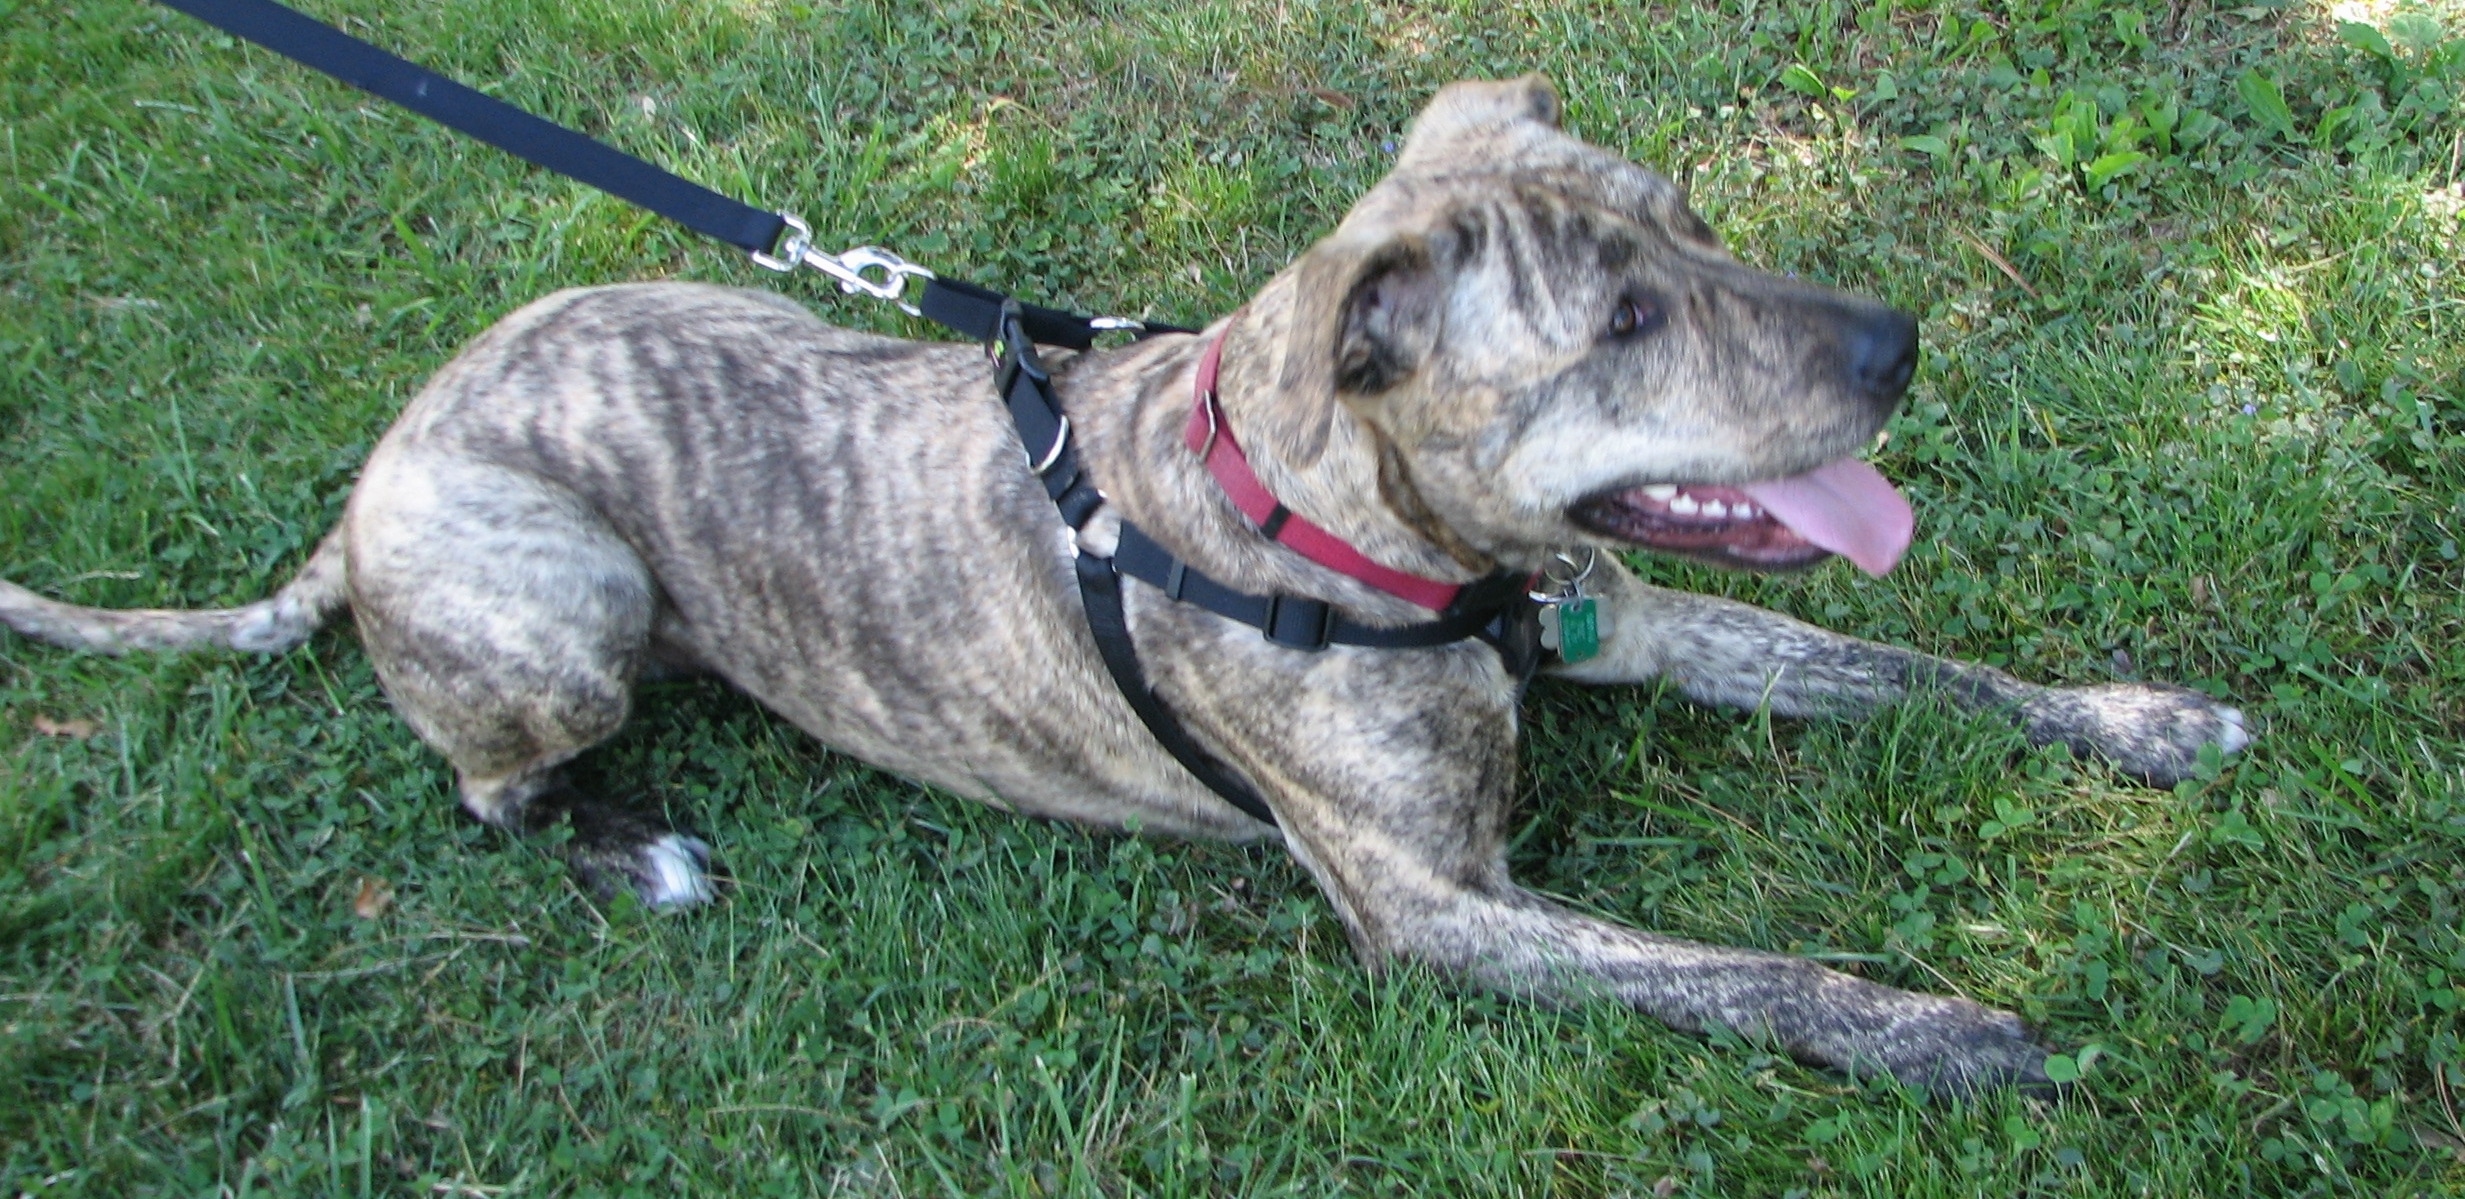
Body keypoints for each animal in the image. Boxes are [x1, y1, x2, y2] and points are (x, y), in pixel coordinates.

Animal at [0, 77, 2248, 1095]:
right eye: (1617, 316)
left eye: (1694, 220)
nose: (1894, 344)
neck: (1351, 529)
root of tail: (380, 463)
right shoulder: (1440, 910)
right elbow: (1739, 969)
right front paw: (1940, 1028)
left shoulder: (1644, 607)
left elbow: (1895, 659)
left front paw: (2139, 719)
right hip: (558, 592)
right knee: (493, 782)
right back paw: (633, 843)